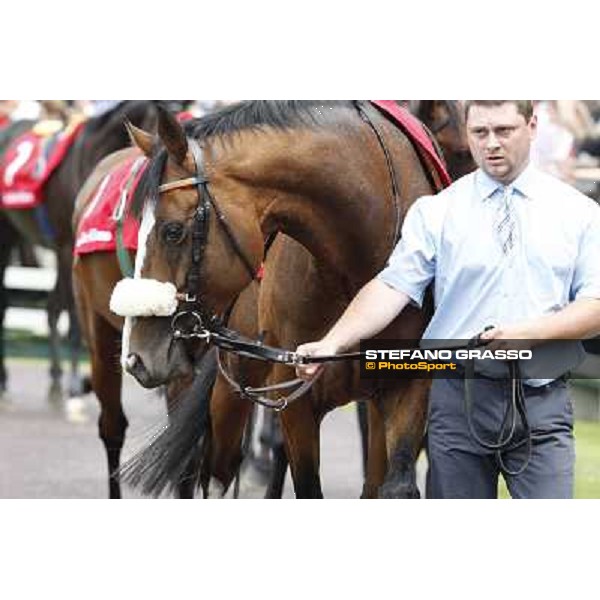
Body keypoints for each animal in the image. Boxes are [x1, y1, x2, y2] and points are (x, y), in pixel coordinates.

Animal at [117, 102, 442, 496]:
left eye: (173, 230)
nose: (135, 357)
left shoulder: (406, 386)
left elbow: (397, 485)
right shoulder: (295, 399)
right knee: (218, 469)